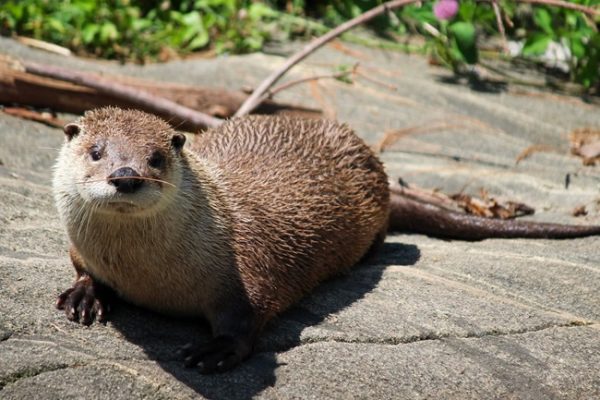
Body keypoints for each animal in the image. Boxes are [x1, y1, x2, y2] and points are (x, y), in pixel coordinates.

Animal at [54, 106, 600, 372]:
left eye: (157, 157)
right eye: (97, 151)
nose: (126, 175)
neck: (147, 276)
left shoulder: (247, 269)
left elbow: (251, 315)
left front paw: (216, 351)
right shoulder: (84, 249)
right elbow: (81, 265)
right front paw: (84, 295)